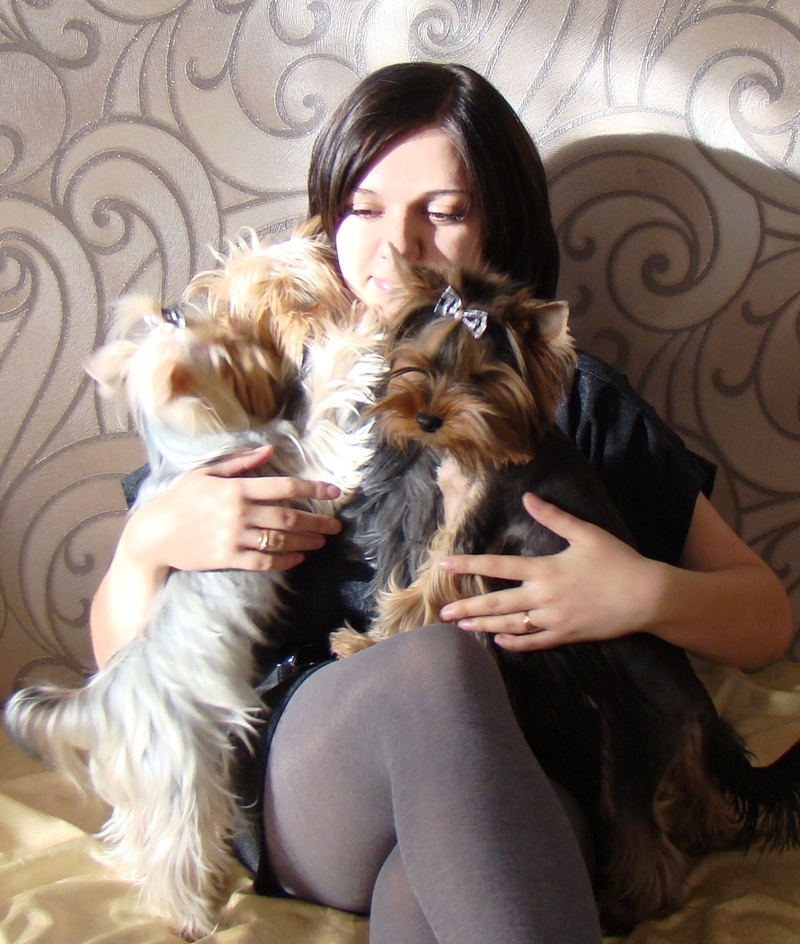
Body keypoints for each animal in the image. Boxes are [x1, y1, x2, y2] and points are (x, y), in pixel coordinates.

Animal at [3, 227, 384, 939]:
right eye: (231, 353)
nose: (262, 350)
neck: (189, 447)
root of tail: (100, 704)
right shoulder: (298, 470)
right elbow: (322, 408)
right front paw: (354, 336)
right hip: (183, 773)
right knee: (173, 851)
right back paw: (191, 916)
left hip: (141, 787)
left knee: (135, 835)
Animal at [330, 262, 800, 933]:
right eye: (417, 366)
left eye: (480, 378)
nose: (426, 419)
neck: (489, 442)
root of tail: (697, 709)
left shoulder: (475, 524)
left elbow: (424, 592)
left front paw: (363, 643)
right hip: (668, 744)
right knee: (695, 795)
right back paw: (704, 828)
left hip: (631, 742)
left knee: (644, 841)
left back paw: (624, 903)